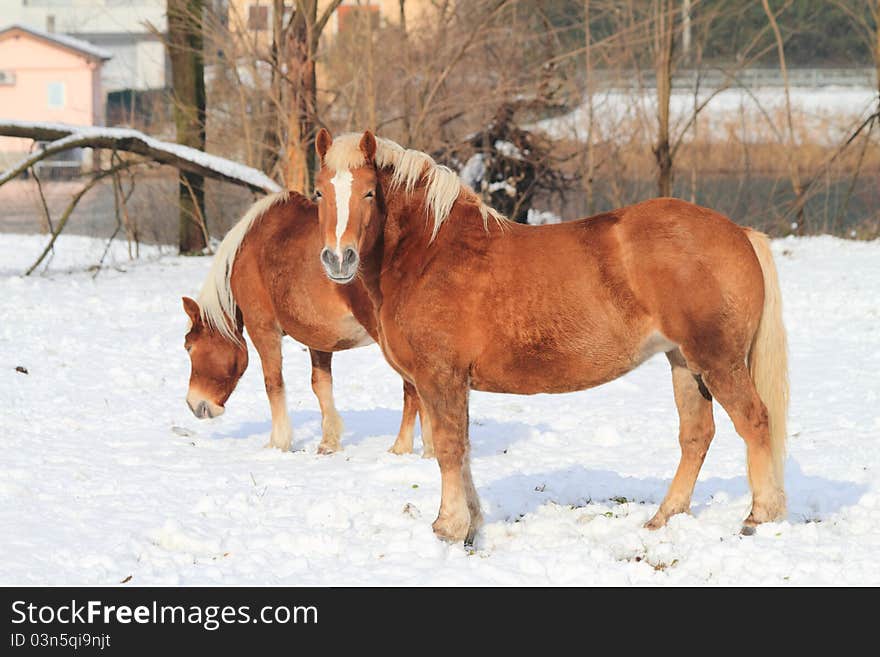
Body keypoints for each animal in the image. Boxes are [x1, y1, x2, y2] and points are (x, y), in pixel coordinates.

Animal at [181, 190, 430, 456]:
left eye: (189, 347)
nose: (194, 404)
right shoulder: (318, 338)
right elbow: (321, 385)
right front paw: (329, 442)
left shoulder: (263, 329)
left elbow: (274, 384)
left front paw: (278, 442)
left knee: (411, 388)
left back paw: (402, 446)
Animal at [312, 129, 788, 544]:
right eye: (319, 193)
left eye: (369, 192)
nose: (338, 259)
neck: (431, 253)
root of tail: (739, 233)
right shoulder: (450, 384)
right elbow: (462, 449)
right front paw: (471, 523)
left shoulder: (440, 379)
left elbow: (449, 448)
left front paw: (448, 527)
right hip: (685, 364)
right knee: (696, 436)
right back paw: (663, 517)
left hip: (718, 361)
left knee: (754, 421)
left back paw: (759, 516)